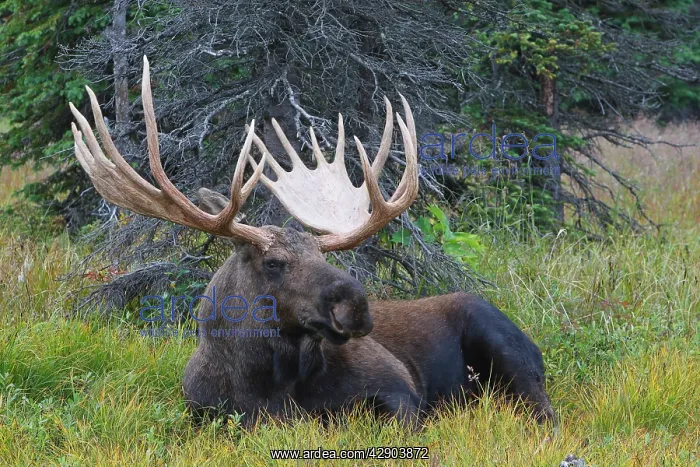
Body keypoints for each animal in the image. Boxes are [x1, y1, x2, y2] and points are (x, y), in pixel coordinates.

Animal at [69, 56, 555, 428]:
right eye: (274, 262)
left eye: (325, 253)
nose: (355, 304)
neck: (266, 386)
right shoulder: (201, 411)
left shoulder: (399, 387)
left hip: (506, 347)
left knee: (542, 412)